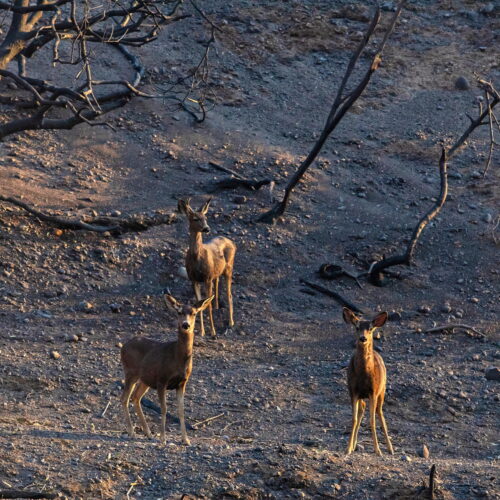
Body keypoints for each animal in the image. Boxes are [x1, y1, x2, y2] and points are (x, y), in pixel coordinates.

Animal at [178, 198, 236, 336]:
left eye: (205, 217)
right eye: (195, 218)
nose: (207, 228)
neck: (196, 258)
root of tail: (232, 242)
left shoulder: (207, 278)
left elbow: (206, 305)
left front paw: (213, 332)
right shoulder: (193, 279)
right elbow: (198, 305)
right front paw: (202, 331)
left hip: (229, 268)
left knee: (229, 294)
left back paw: (231, 322)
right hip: (217, 272)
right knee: (218, 284)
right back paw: (217, 307)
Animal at [344, 306, 394, 456]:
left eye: (371, 328)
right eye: (356, 327)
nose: (363, 338)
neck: (363, 375)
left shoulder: (373, 391)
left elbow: (372, 420)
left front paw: (378, 450)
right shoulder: (353, 391)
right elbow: (354, 419)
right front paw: (348, 448)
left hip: (382, 391)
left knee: (380, 413)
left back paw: (390, 448)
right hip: (362, 396)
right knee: (362, 409)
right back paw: (354, 445)